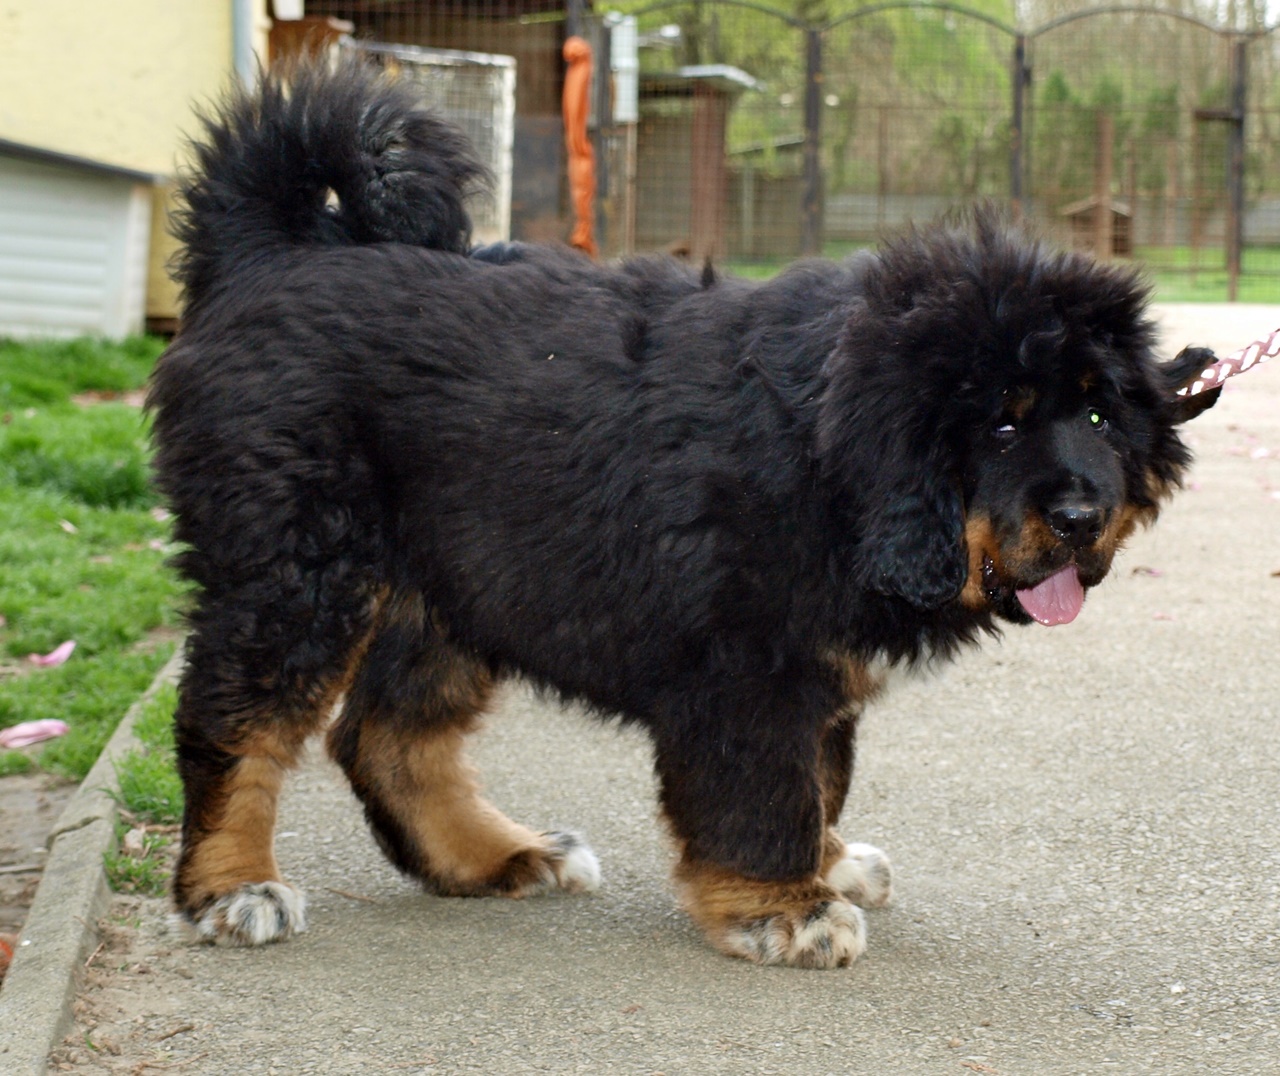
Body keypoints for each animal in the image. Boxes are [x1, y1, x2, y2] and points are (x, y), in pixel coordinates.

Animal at [148, 58, 1219, 968]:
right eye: (1000, 424)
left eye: (1099, 415)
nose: (1082, 515)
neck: (832, 456)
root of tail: (269, 255)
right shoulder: (746, 668)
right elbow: (764, 792)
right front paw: (784, 907)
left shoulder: (812, 668)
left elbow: (819, 776)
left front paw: (825, 864)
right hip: (303, 565)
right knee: (234, 717)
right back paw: (232, 887)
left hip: (454, 575)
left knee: (387, 737)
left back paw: (500, 854)